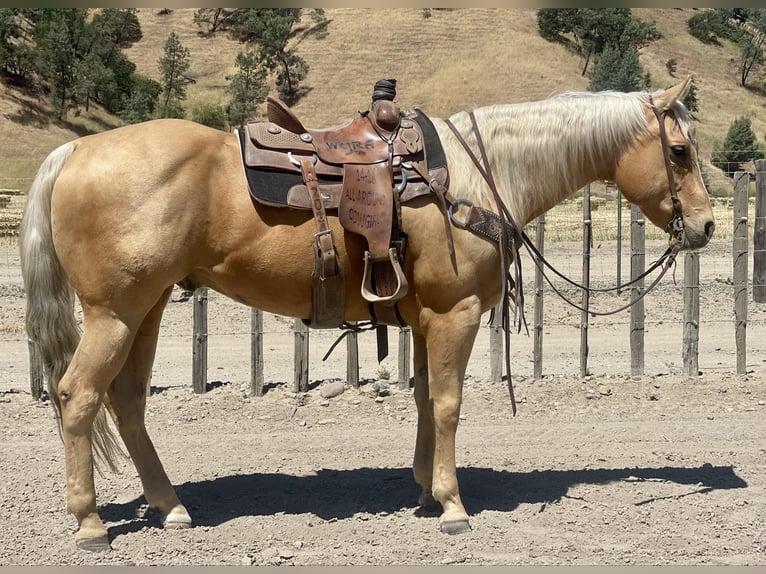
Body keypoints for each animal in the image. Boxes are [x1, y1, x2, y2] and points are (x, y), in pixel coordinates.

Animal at [19, 77, 714, 551]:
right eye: (680, 150)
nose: (706, 225)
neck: (473, 177)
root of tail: (73, 152)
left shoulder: (429, 317)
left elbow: (425, 398)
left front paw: (425, 490)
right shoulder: (455, 312)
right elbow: (449, 403)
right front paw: (454, 506)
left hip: (149, 307)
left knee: (127, 401)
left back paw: (171, 507)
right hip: (115, 311)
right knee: (79, 396)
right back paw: (90, 523)